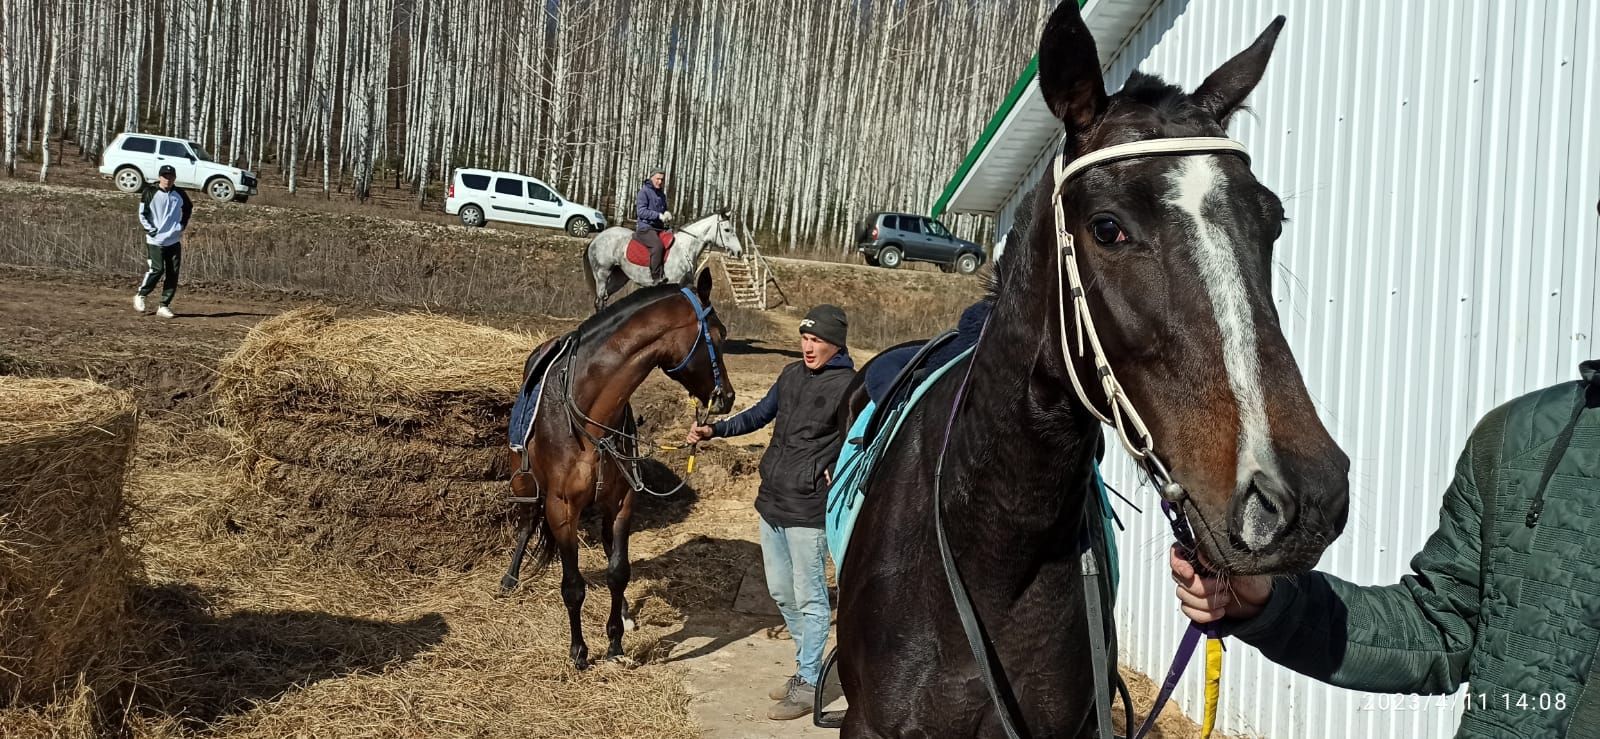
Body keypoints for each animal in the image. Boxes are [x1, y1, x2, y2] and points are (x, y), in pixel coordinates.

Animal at [502, 267, 732, 668]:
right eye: (718, 336)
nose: (729, 397)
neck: (587, 419)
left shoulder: (623, 502)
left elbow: (618, 571)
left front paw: (615, 641)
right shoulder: (561, 508)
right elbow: (573, 586)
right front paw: (579, 652)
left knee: (610, 548)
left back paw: (623, 611)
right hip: (526, 484)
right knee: (528, 522)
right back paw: (511, 578)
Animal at [582, 207, 742, 311]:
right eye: (727, 230)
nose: (739, 252)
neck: (685, 247)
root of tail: (596, 239)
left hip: (618, 277)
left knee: (604, 299)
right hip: (602, 274)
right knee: (600, 300)